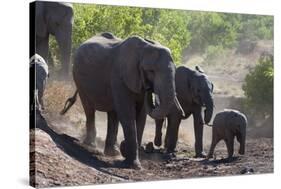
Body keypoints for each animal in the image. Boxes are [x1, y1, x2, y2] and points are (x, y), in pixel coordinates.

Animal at [60, 32, 183, 170]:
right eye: (151, 71)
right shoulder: (120, 77)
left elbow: (141, 116)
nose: (149, 88)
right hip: (79, 79)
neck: (143, 49)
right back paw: (91, 145)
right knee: (89, 109)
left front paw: (127, 154)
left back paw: (113, 152)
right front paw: (134, 165)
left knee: (113, 114)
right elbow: (127, 113)